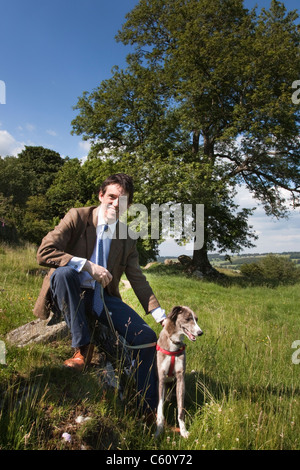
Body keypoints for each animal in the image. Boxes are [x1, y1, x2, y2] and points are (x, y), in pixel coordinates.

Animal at [156, 306, 203, 438]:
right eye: (187, 319)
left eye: (196, 319)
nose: (200, 332)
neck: (173, 344)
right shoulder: (162, 378)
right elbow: (159, 408)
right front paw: (159, 429)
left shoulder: (180, 378)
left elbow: (181, 410)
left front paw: (183, 431)